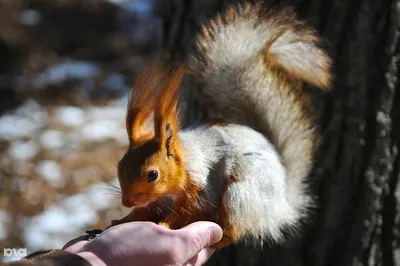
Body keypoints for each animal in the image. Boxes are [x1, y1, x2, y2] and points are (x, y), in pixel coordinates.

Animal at [109, 2, 332, 248]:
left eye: (153, 175)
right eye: (119, 166)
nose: (127, 202)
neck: (184, 162)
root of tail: (280, 208)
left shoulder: (203, 185)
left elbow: (192, 209)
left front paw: (165, 225)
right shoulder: (159, 200)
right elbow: (146, 211)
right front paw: (123, 220)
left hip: (240, 196)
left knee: (234, 231)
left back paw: (218, 240)